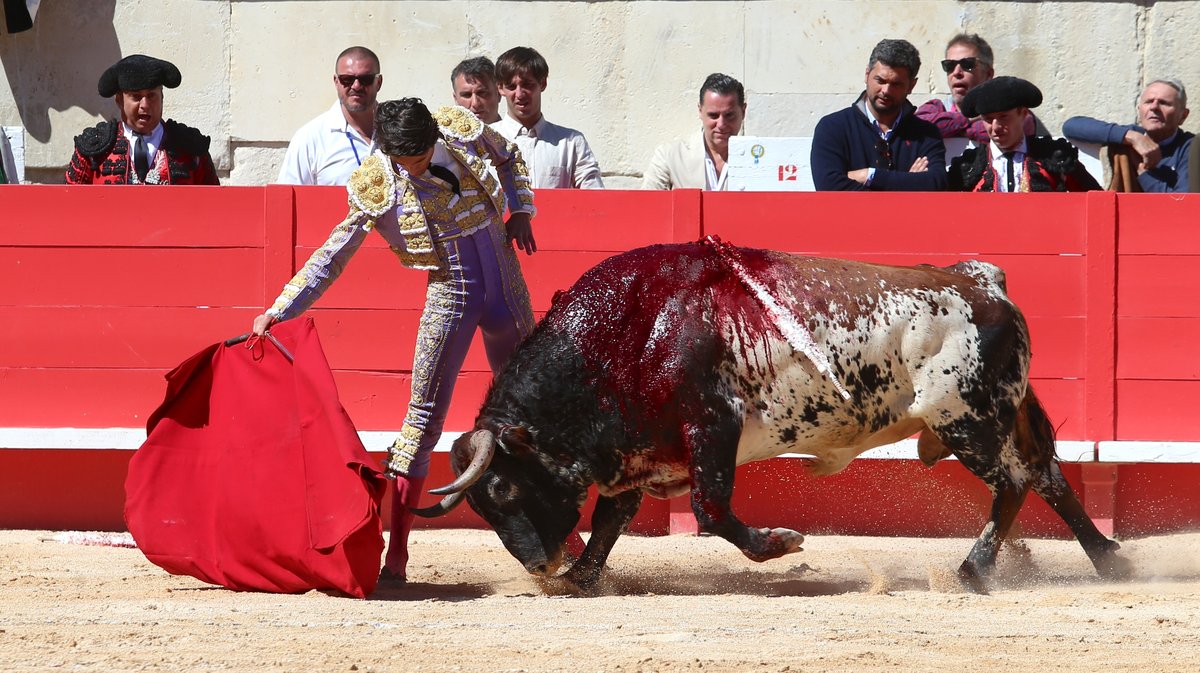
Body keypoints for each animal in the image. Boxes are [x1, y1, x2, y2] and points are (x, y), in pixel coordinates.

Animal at [415, 235, 1123, 587]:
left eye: (504, 490)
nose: (540, 568)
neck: (625, 335)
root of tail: (980, 281)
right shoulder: (640, 454)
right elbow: (612, 520)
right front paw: (585, 576)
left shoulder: (712, 427)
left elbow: (711, 509)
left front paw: (781, 543)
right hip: (1000, 417)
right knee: (1050, 475)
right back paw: (1111, 560)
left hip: (967, 420)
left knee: (1015, 483)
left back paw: (975, 570)